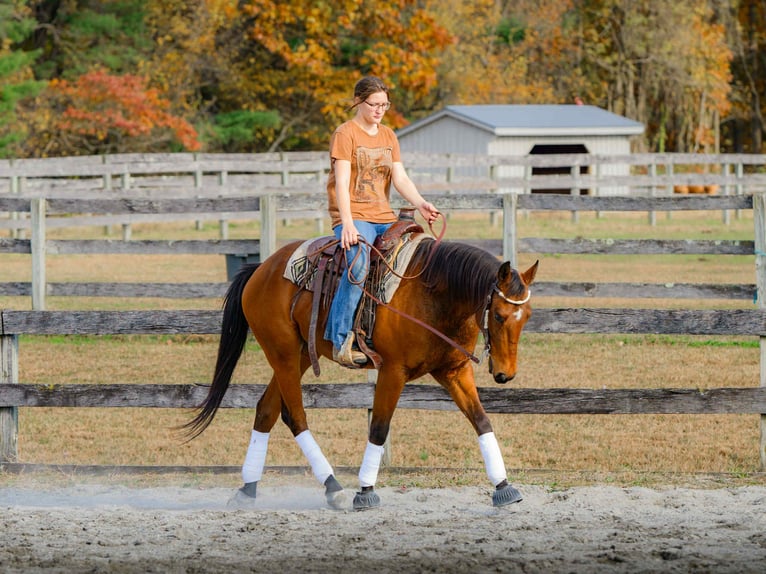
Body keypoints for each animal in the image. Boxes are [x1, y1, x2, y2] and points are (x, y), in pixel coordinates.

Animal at [185, 233, 538, 510]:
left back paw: (248, 490)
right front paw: (366, 491)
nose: (505, 374)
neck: (434, 293)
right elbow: (379, 428)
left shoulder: (454, 371)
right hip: (282, 354)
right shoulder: (392, 371)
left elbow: (481, 421)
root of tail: (260, 270)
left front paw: (504, 487)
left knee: (267, 410)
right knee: (295, 415)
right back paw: (334, 488)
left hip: (298, 356)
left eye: (528, 316)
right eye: (500, 315)